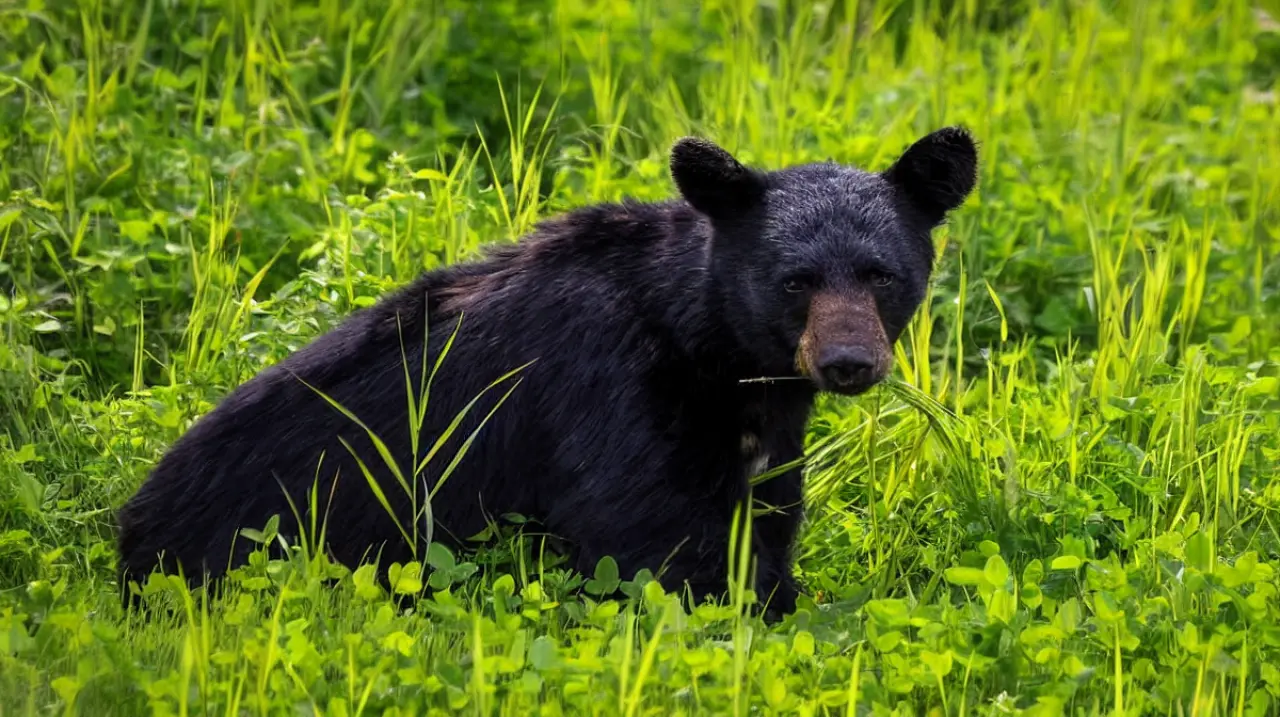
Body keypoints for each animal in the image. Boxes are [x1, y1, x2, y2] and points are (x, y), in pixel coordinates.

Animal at [116, 126, 978, 617]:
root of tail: (128, 529)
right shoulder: (610, 387)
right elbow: (654, 540)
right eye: (795, 280)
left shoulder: (761, 430)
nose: (848, 361)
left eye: (881, 274)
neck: (710, 350)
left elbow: (764, 516)